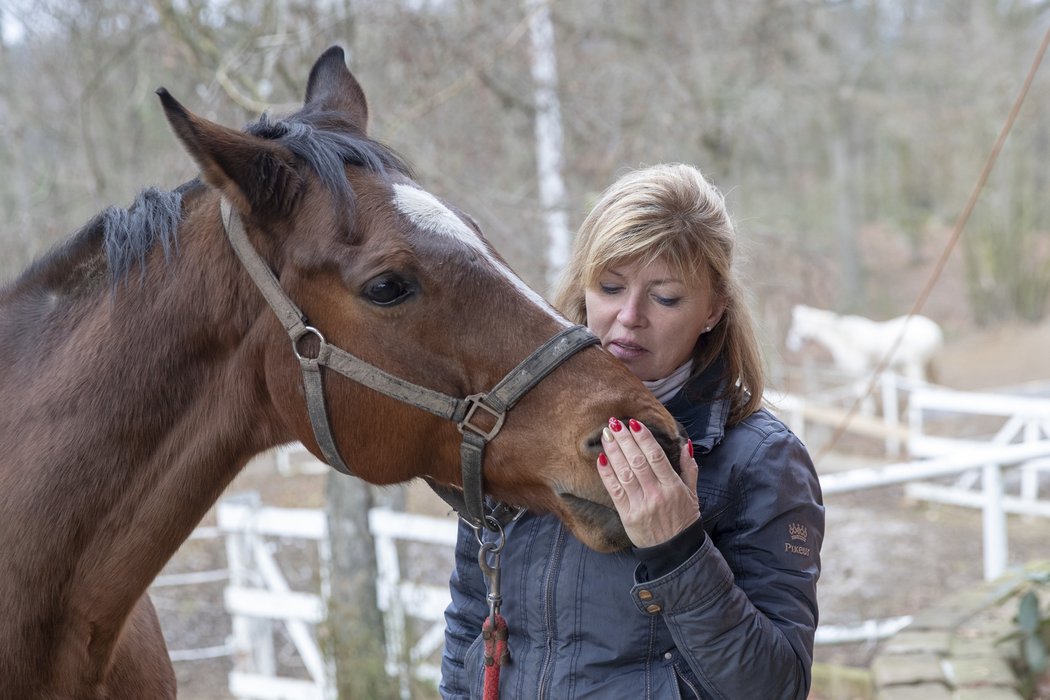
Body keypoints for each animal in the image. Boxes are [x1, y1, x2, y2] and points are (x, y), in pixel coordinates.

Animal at [789, 304, 944, 384]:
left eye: (796, 326)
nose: (790, 345)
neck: (844, 338)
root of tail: (936, 330)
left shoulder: (859, 370)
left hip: (914, 364)